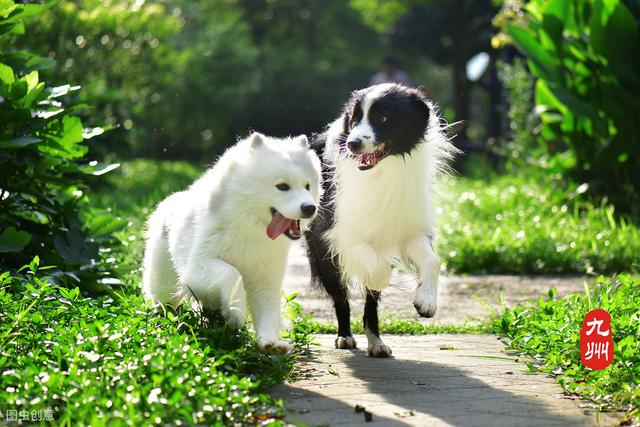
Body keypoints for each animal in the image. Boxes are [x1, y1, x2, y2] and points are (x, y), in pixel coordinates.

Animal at [142, 134, 322, 354]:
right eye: (282, 186)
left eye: (307, 186)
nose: (310, 208)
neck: (250, 227)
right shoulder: (198, 266)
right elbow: (233, 273)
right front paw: (236, 312)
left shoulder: (266, 278)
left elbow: (267, 311)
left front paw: (269, 342)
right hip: (164, 287)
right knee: (164, 305)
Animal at [304, 83, 456, 358]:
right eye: (354, 119)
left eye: (384, 119)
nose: (352, 143)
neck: (386, 170)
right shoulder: (337, 232)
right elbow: (379, 270)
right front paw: (379, 279)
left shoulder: (410, 229)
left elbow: (433, 260)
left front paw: (426, 301)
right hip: (324, 255)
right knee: (341, 296)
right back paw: (345, 336)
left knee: (370, 304)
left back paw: (376, 342)